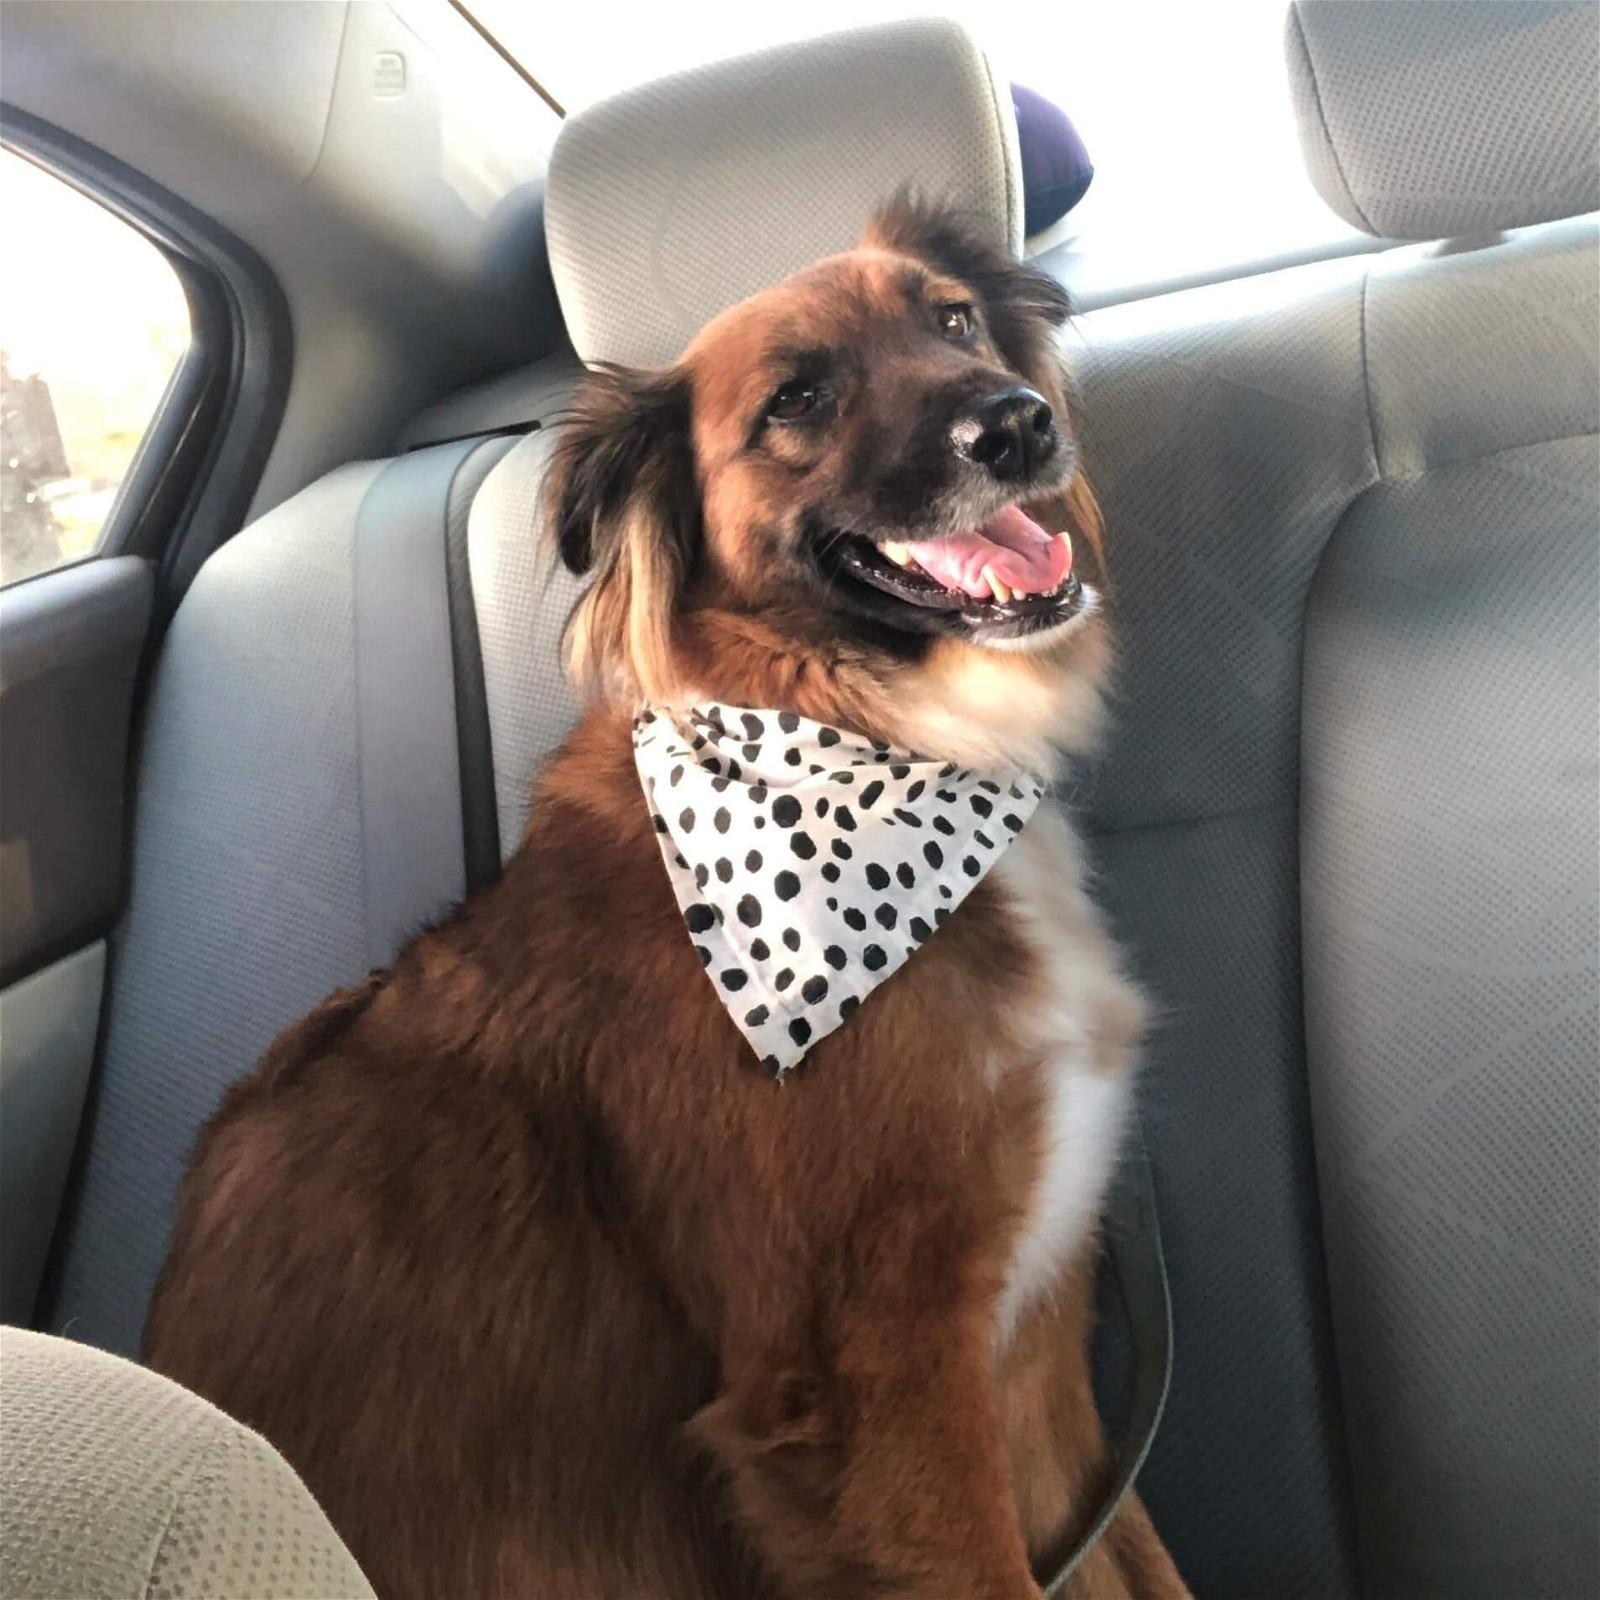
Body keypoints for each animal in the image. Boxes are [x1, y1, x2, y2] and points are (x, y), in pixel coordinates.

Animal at [144, 200, 1190, 1600]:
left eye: (954, 319)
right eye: (796, 398)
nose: (1016, 424)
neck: (861, 737)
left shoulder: (1038, 1352)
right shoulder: (875, 1380)